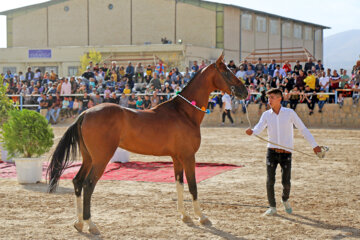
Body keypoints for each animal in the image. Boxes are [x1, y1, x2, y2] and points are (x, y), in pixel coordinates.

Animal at [47, 54, 248, 234]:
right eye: (227, 72)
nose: (244, 91)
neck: (183, 112)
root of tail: (85, 113)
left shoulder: (177, 158)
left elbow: (179, 185)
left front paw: (185, 216)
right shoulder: (189, 157)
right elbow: (192, 186)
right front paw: (202, 217)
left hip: (88, 158)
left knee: (77, 181)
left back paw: (79, 223)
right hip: (101, 159)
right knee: (88, 185)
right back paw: (92, 225)